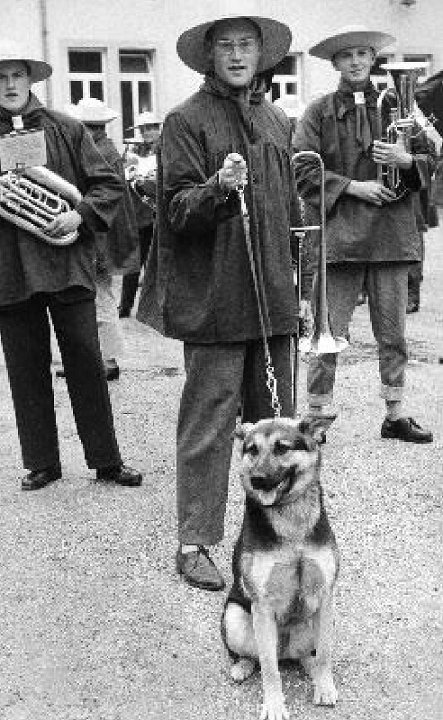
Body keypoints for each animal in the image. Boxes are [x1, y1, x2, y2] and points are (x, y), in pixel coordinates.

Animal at [221, 414, 339, 720]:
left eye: (282, 448)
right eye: (251, 450)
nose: (257, 480)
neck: (290, 520)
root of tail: (285, 649)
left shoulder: (325, 598)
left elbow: (324, 653)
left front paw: (324, 687)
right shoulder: (262, 606)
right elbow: (269, 668)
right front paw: (274, 705)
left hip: (313, 623)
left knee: (307, 655)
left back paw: (312, 670)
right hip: (235, 618)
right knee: (258, 657)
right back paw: (242, 666)